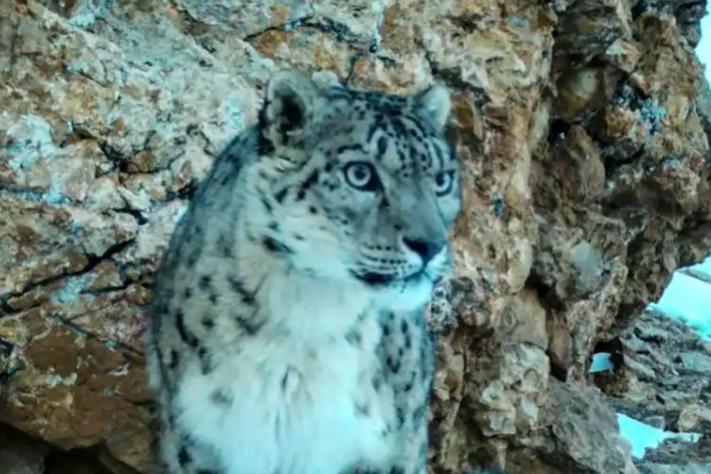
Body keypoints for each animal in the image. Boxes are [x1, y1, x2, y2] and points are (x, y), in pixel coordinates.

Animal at [146, 70, 463, 474]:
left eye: (442, 179)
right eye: (360, 174)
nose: (430, 245)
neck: (311, 316)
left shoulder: (391, 453)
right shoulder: (200, 442)